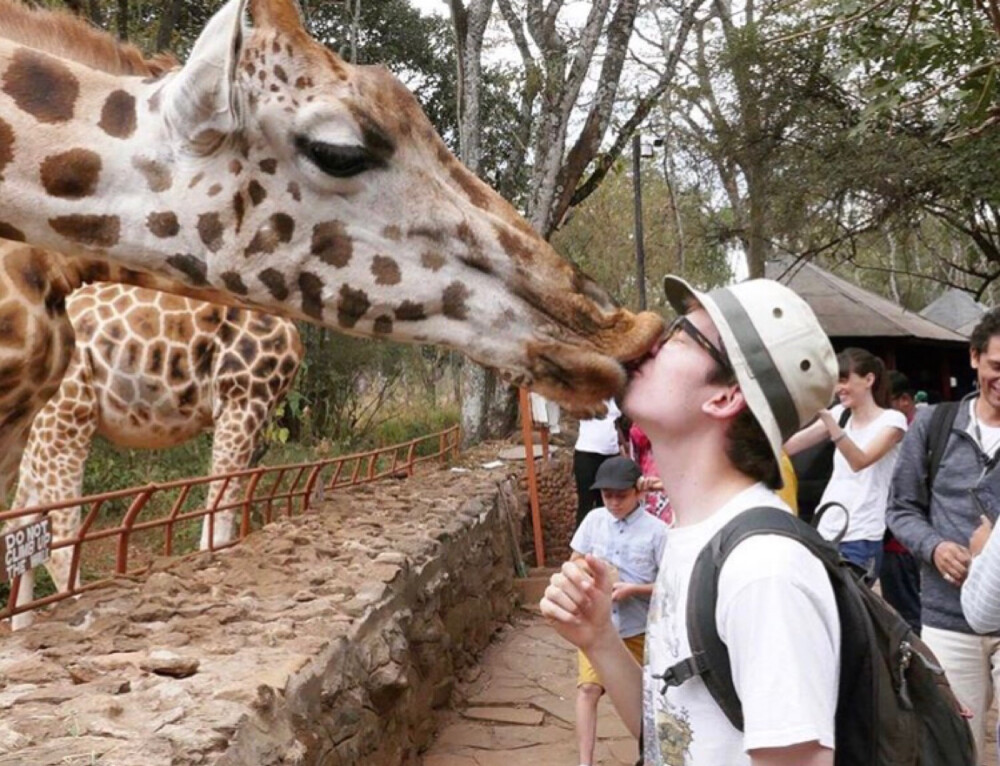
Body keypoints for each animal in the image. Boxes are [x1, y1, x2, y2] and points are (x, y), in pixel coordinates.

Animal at [6, 282, 304, 632]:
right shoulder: (244, 395)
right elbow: (221, 502)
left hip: (42, 426)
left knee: (23, 522)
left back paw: (23, 626)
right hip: (67, 411)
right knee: (57, 538)